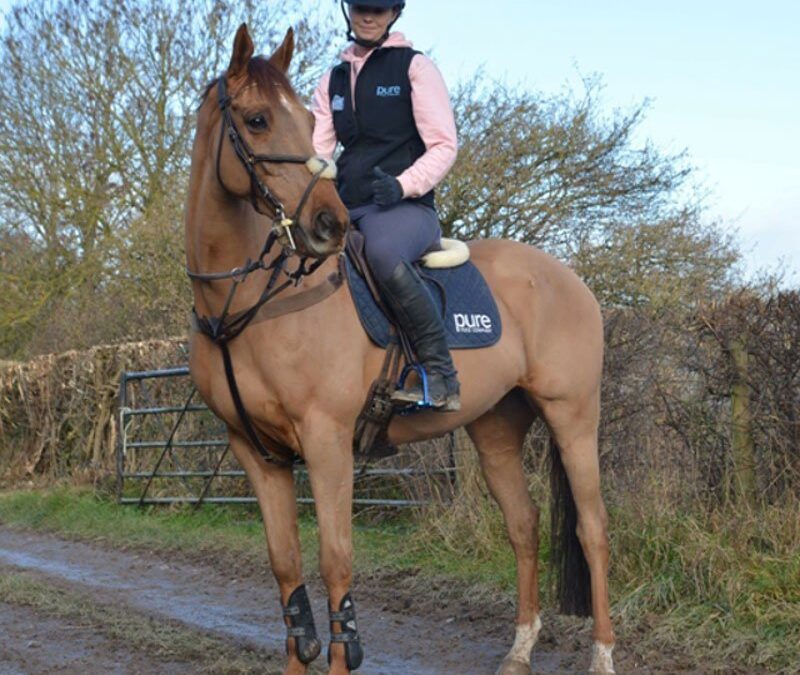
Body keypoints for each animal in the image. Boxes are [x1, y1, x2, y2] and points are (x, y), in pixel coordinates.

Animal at [186, 24, 615, 675]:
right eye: (258, 120)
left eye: (305, 121)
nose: (329, 225)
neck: (249, 302)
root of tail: (568, 278)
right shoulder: (258, 453)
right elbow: (287, 571)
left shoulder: (326, 443)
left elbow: (336, 563)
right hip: (495, 426)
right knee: (523, 525)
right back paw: (519, 649)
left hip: (573, 416)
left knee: (592, 529)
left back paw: (603, 655)